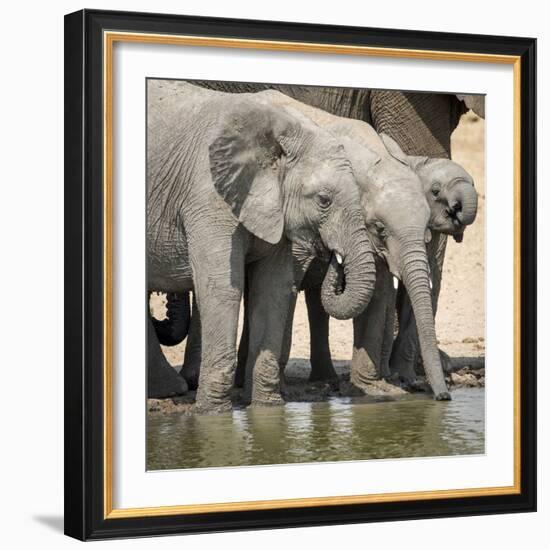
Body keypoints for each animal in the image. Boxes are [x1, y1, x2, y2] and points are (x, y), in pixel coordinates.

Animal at [148, 80, 380, 412]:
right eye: (323, 201)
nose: (333, 256)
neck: (284, 131)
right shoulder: (208, 197)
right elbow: (222, 288)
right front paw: (212, 415)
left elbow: (273, 289)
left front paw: (267, 409)